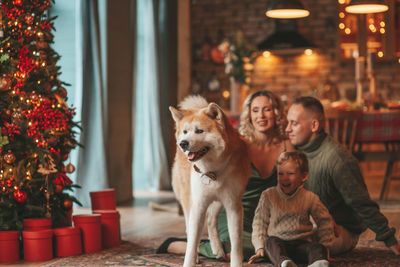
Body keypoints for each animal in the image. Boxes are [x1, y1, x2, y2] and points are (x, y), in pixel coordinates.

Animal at [169, 96, 250, 267]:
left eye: (199, 131)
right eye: (185, 131)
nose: (183, 143)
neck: (213, 170)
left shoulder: (233, 206)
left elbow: (236, 243)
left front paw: (236, 262)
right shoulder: (198, 204)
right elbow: (192, 242)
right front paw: (190, 261)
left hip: (218, 201)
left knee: (211, 221)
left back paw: (217, 249)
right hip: (189, 199)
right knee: (190, 228)